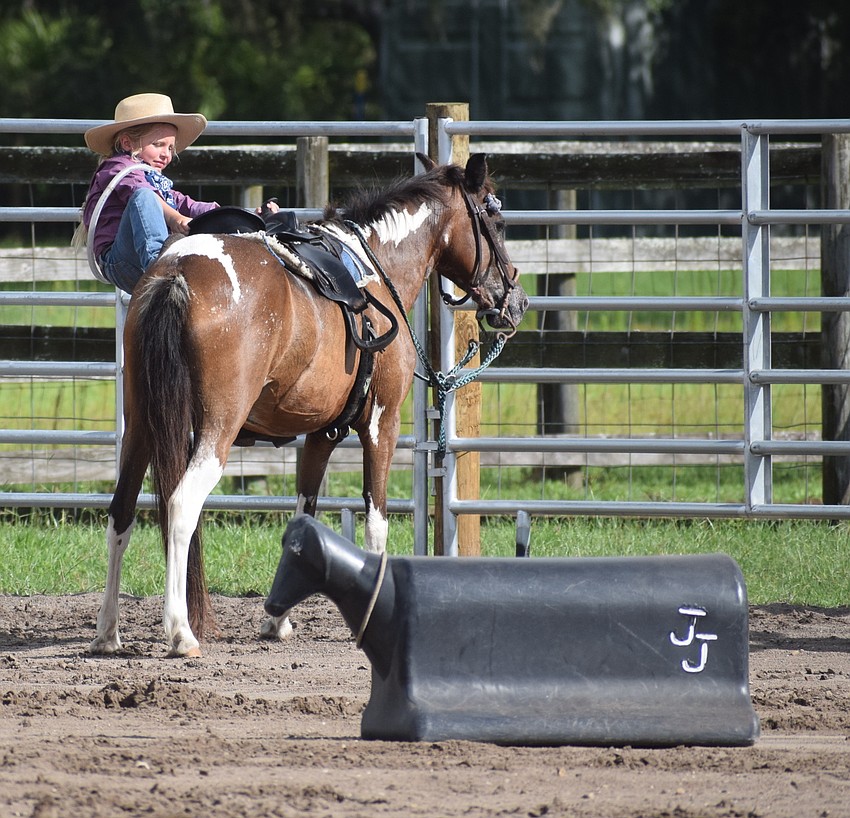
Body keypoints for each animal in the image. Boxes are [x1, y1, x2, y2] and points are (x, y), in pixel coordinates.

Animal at [88, 152, 528, 658]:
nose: (516, 302)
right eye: (496, 220)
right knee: (181, 505)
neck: (378, 269)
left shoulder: (322, 432)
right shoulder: (381, 423)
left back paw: (107, 632)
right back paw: (180, 632)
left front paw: (276, 621)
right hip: (217, 430)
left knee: (121, 511)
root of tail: (176, 273)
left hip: (142, 424)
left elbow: (303, 519)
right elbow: (377, 519)